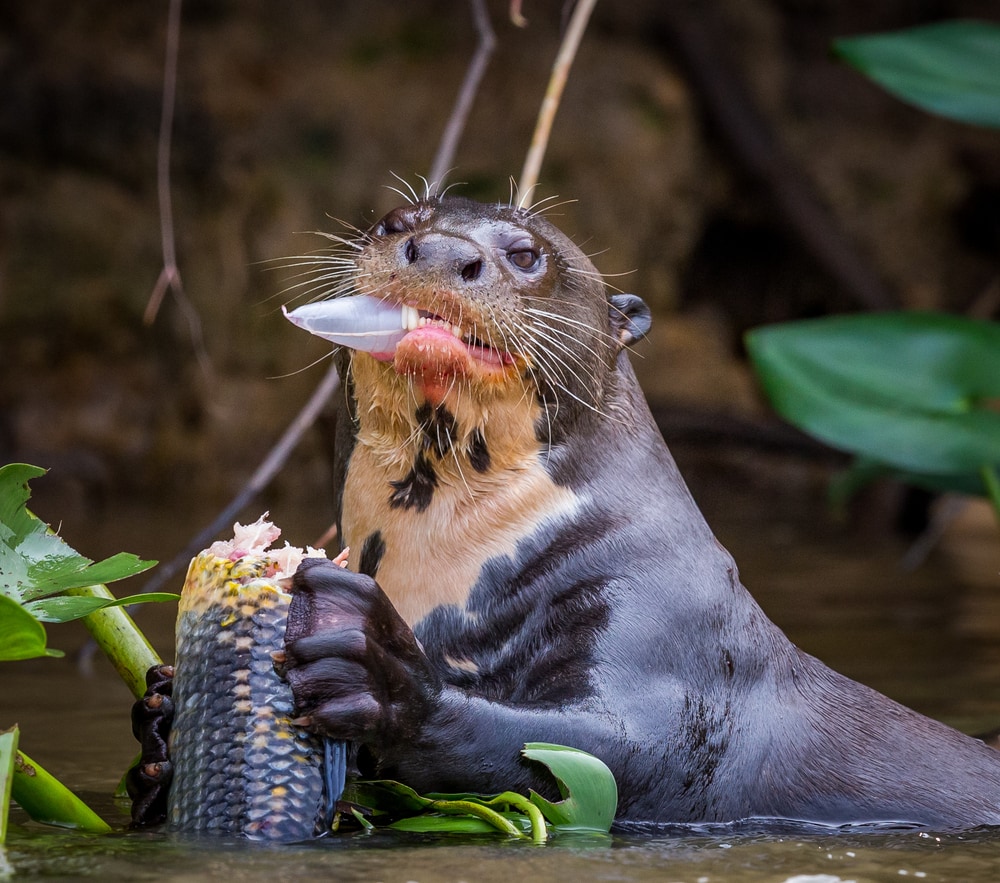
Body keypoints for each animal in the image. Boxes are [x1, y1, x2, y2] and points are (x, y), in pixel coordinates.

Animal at [137, 196, 1000, 828]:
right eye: (393, 222)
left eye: (526, 254)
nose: (440, 251)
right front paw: (160, 724)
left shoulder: (662, 626)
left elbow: (622, 758)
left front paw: (381, 672)